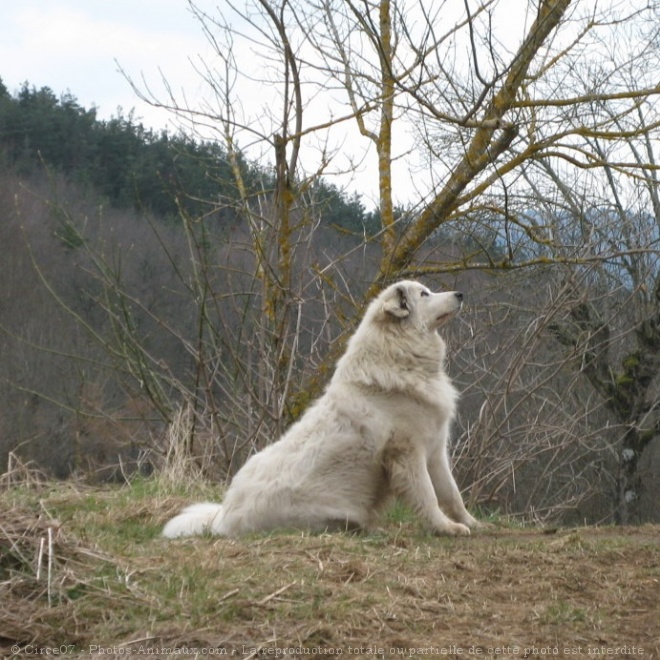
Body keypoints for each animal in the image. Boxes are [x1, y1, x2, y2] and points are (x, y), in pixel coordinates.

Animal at [162, 282, 476, 540]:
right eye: (424, 295)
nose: (461, 294)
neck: (397, 356)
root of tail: (221, 517)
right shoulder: (408, 454)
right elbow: (428, 495)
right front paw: (445, 528)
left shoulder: (435, 451)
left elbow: (451, 493)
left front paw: (471, 522)